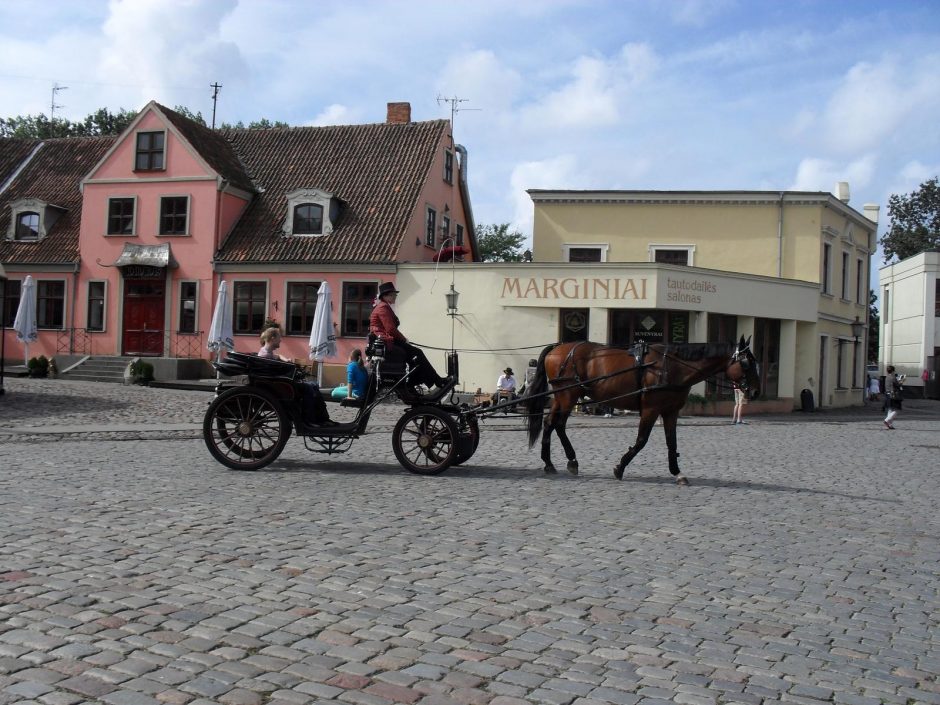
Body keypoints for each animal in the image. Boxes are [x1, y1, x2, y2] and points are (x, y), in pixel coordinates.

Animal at [524, 336, 760, 484]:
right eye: (746, 364)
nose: (756, 391)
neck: (671, 366)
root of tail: (559, 347)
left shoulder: (670, 411)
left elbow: (671, 442)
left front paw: (677, 472)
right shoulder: (650, 409)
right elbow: (641, 441)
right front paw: (619, 467)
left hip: (561, 397)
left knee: (549, 423)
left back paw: (550, 463)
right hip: (568, 396)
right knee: (558, 424)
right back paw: (570, 461)